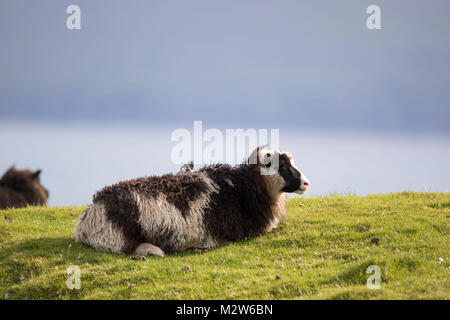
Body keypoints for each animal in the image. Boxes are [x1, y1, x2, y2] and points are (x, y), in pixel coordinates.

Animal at [74, 146, 310, 256]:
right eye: (281, 166)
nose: (306, 183)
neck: (244, 188)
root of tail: (87, 218)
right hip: (117, 234)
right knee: (127, 247)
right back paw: (155, 250)